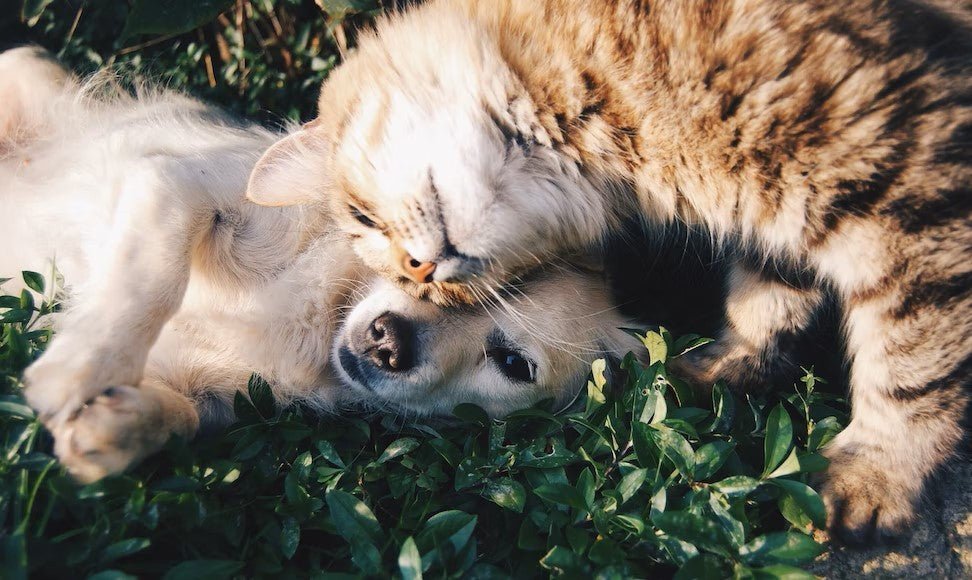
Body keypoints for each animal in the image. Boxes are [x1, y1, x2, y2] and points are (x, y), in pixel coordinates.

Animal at [1, 48, 644, 484]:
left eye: (512, 363)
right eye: (419, 263)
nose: (388, 341)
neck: (322, 316)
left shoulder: (214, 396)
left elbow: (181, 417)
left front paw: (114, 428)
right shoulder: (176, 185)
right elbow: (150, 278)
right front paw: (80, 368)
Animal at [249, 0, 972, 544]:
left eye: (361, 217)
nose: (422, 272)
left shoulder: (910, 190)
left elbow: (912, 368)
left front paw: (875, 476)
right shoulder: (781, 219)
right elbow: (765, 302)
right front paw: (718, 371)